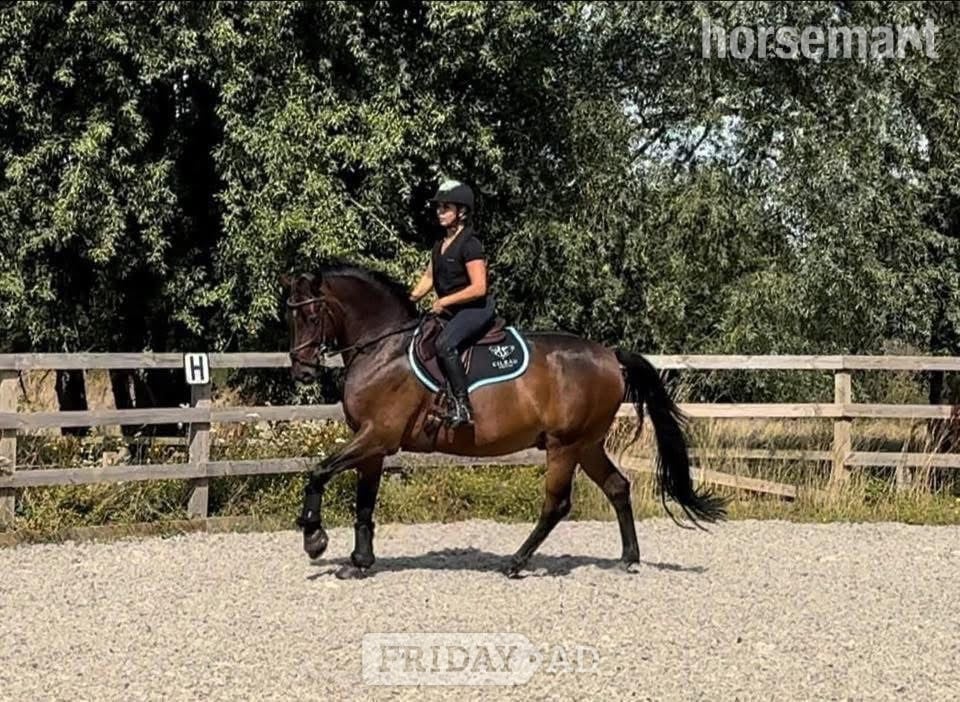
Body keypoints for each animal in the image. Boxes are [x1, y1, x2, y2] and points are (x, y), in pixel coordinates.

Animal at [281, 262, 727, 579]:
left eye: (312, 315)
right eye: (292, 318)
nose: (302, 371)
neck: (383, 348)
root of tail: (610, 356)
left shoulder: (378, 437)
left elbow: (318, 471)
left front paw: (314, 538)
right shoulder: (372, 445)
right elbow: (364, 502)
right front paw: (358, 560)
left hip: (564, 445)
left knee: (556, 503)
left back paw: (515, 563)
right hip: (587, 444)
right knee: (617, 487)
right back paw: (629, 558)